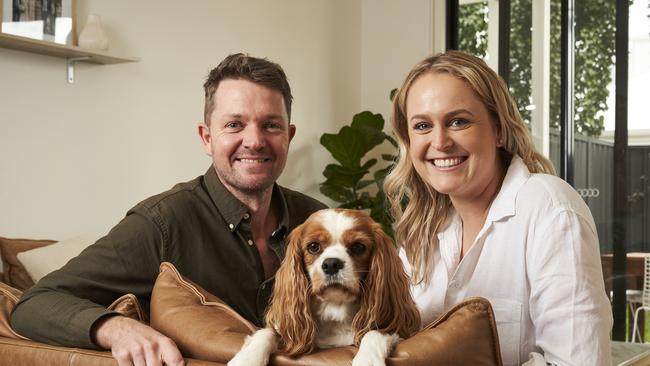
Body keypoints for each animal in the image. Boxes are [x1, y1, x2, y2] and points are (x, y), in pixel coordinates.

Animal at [228, 209, 420, 366]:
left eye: (358, 247)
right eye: (313, 247)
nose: (331, 264)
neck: (335, 309)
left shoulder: (397, 329)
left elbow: (374, 332)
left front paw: (367, 360)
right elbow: (268, 332)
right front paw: (246, 359)